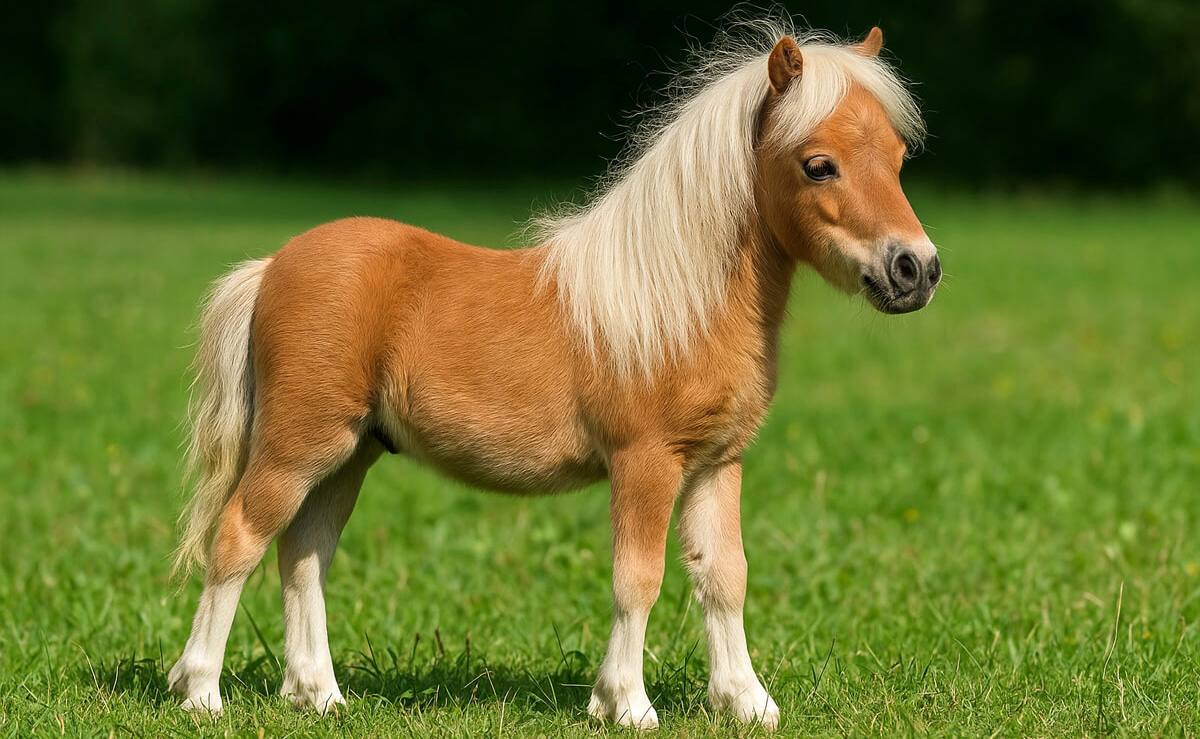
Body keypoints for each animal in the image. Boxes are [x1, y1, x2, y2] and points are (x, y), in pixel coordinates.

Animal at [166, 21, 939, 730]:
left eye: (899, 157)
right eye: (819, 165)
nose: (916, 269)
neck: (674, 302)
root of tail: (271, 267)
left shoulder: (716, 463)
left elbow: (724, 577)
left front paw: (746, 702)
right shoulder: (645, 463)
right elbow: (639, 578)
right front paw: (626, 704)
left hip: (349, 454)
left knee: (303, 555)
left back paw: (319, 694)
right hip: (300, 446)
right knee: (238, 539)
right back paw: (201, 692)